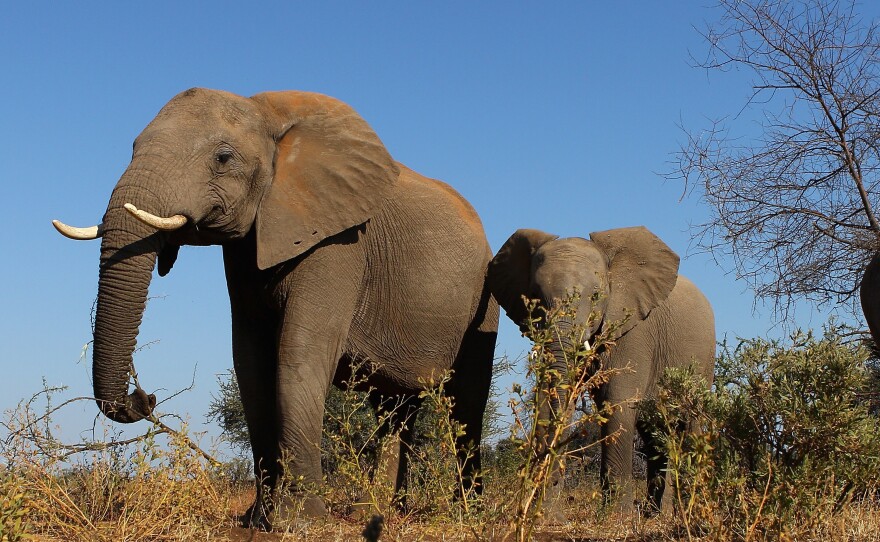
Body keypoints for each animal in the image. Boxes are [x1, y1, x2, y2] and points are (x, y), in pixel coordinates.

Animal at [51, 89, 498, 532]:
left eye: (223, 158)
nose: (146, 398)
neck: (266, 112)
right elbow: (250, 362)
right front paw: (256, 520)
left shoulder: (338, 243)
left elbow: (297, 355)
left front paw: (301, 522)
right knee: (395, 408)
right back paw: (374, 514)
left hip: (484, 301)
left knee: (466, 404)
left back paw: (466, 513)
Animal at [488, 226, 716, 520]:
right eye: (535, 296)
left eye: (596, 295)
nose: (553, 491)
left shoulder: (632, 332)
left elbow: (616, 403)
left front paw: (616, 518)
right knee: (655, 434)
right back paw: (657, 515)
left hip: (704, 360)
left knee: (690, 424)